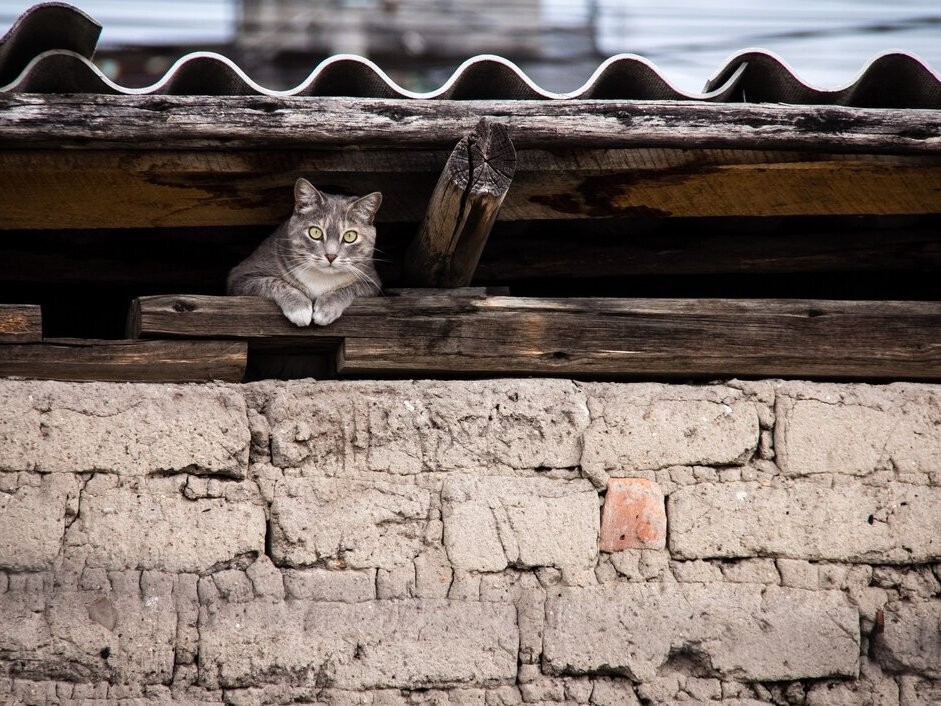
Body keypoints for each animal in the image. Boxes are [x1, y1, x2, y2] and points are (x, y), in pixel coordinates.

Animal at [228, 179, 382, 328]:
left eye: (350, 236)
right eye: (315, 232)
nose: (330, 256)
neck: (321, 277)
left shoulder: (373, 282)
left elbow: (352, 287)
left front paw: (327, 307)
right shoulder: (240, 277)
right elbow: (274, 282)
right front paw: (299, 308)